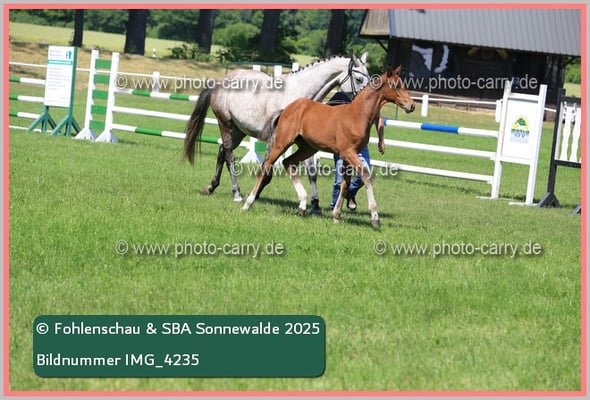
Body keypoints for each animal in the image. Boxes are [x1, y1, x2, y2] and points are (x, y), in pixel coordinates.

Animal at [183, 53, 371, 205]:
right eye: (359, 79)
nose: (364, 103)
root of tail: (221, 82)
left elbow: (310, 171)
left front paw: (314, 204)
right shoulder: (275, 139)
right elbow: (266, 170)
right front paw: (252, 196)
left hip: (238, 131)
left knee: (222, 150)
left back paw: (211, 187)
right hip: (226, 124)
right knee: (229, 155)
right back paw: (236, 193)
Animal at [241, 65, 415, 228]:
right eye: (395, 85)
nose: (412, 105)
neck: (357, 115)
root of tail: (287, 108)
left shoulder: (347, 156)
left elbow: (345, 185)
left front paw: (336, 215)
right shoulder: (349, 153)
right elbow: (366, 176)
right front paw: (375, 217)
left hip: (308, 148)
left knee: (288, 162)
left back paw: (303, 205)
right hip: (282, 143)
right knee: (266, 166)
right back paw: (248, 203)